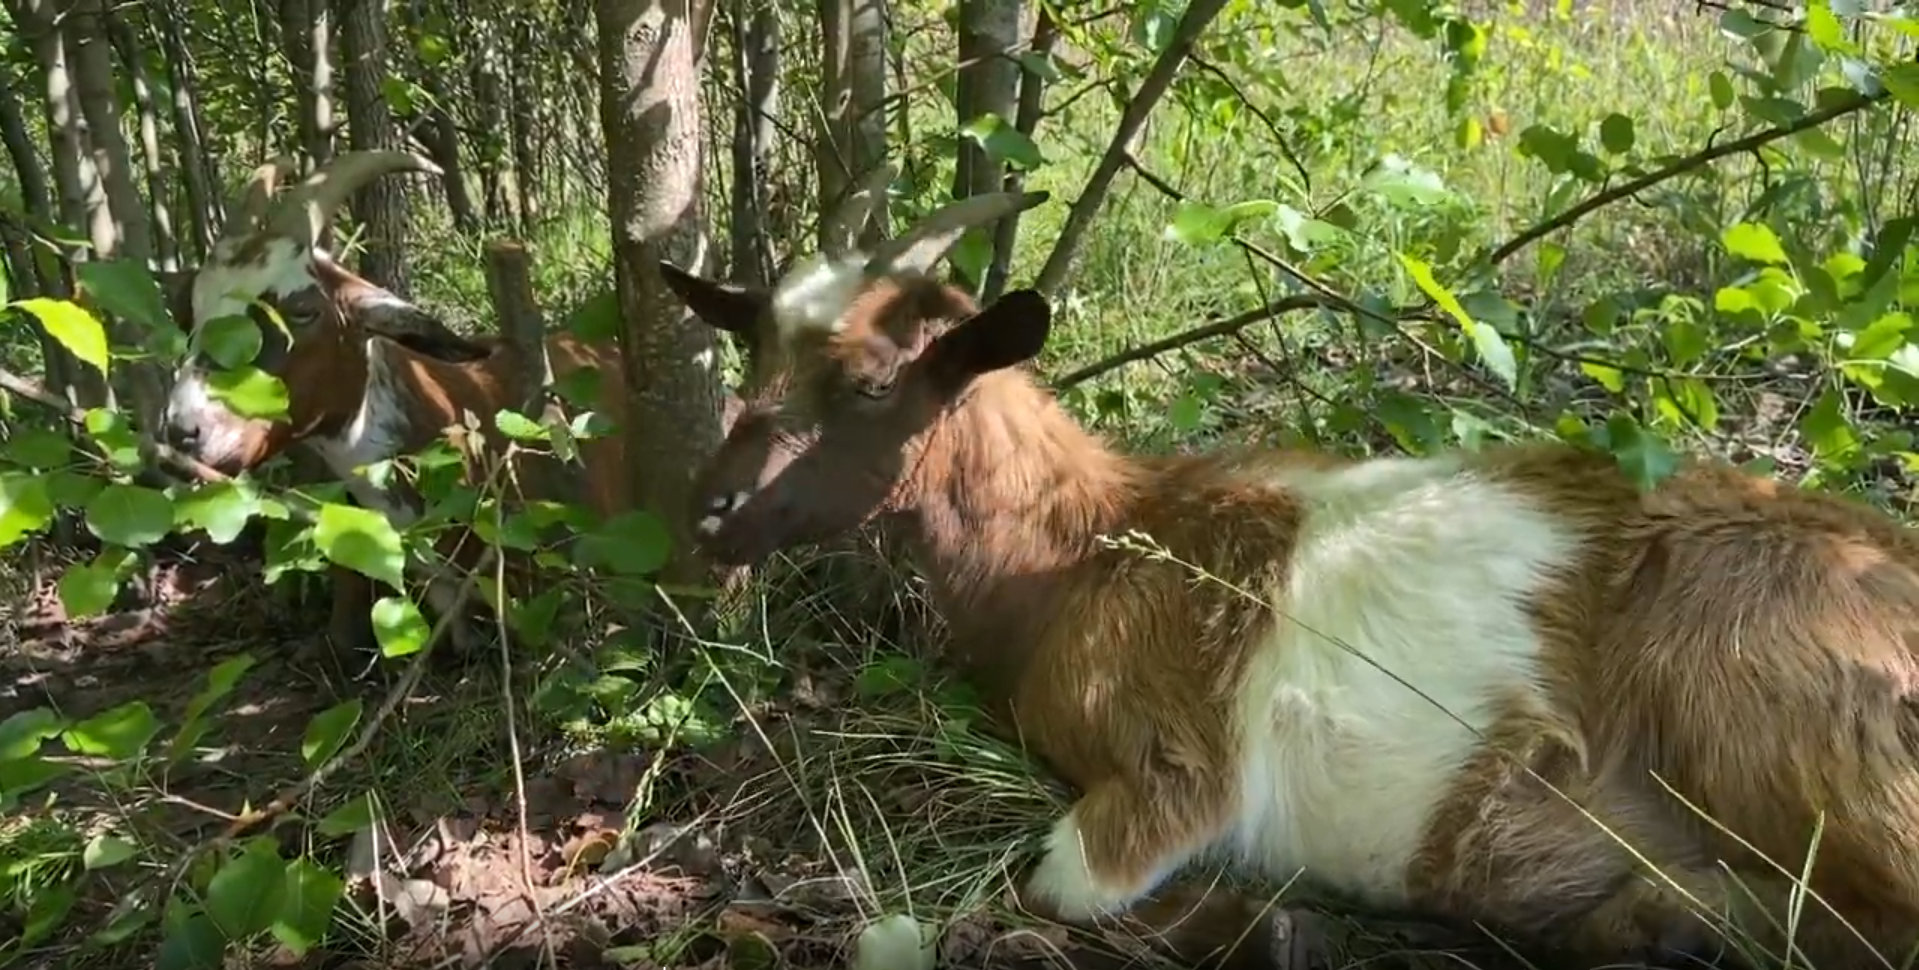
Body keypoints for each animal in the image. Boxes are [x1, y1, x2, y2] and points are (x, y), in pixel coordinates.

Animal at [664, 216, 1919, 968]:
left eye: (873, 383)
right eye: (752, 356)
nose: (711, 509)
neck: (1088, 549)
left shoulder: (1172, 773)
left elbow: (1052, 888)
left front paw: (1272, 926)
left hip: (1769, 704)